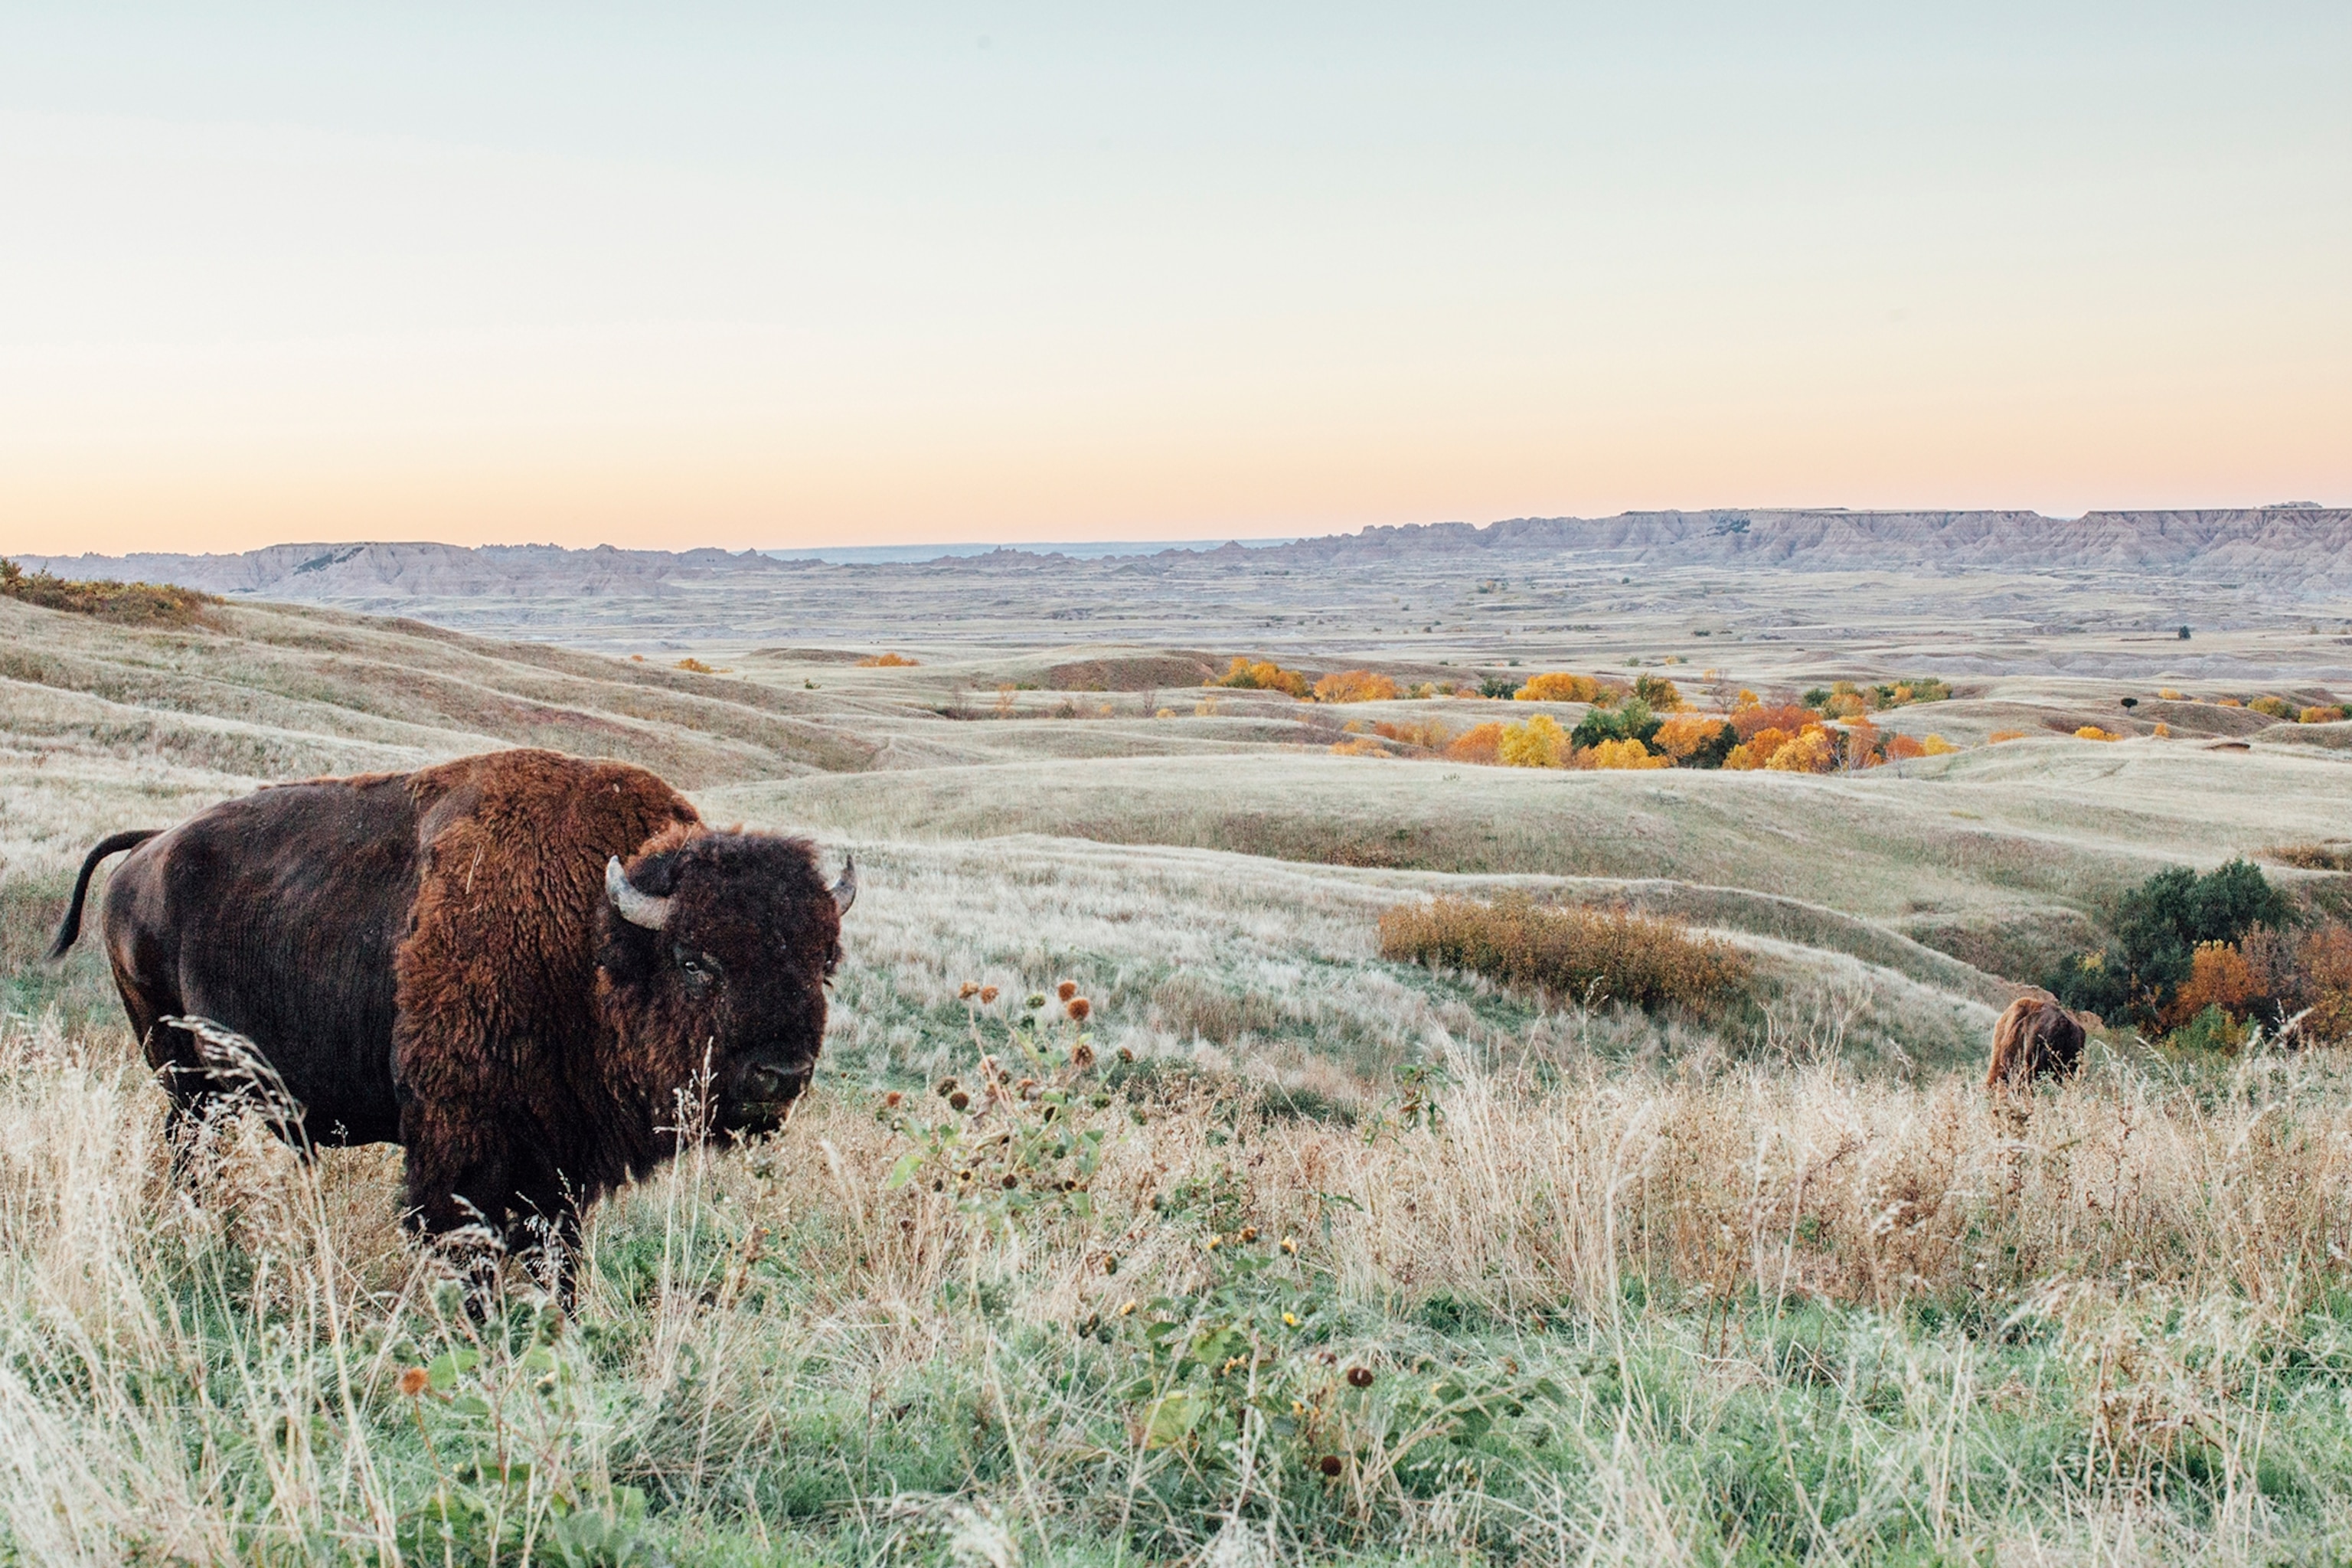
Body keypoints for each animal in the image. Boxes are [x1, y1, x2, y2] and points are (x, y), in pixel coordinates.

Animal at [47, 748, 853, 1283]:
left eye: (823, 964)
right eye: (694, 960)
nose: (780, 1074)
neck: (592, 937)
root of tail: (149, 848)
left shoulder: (559, 1156)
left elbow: (557, 1249)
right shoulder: (462, 1144)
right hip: (179, 1070)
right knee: (191, 1150)